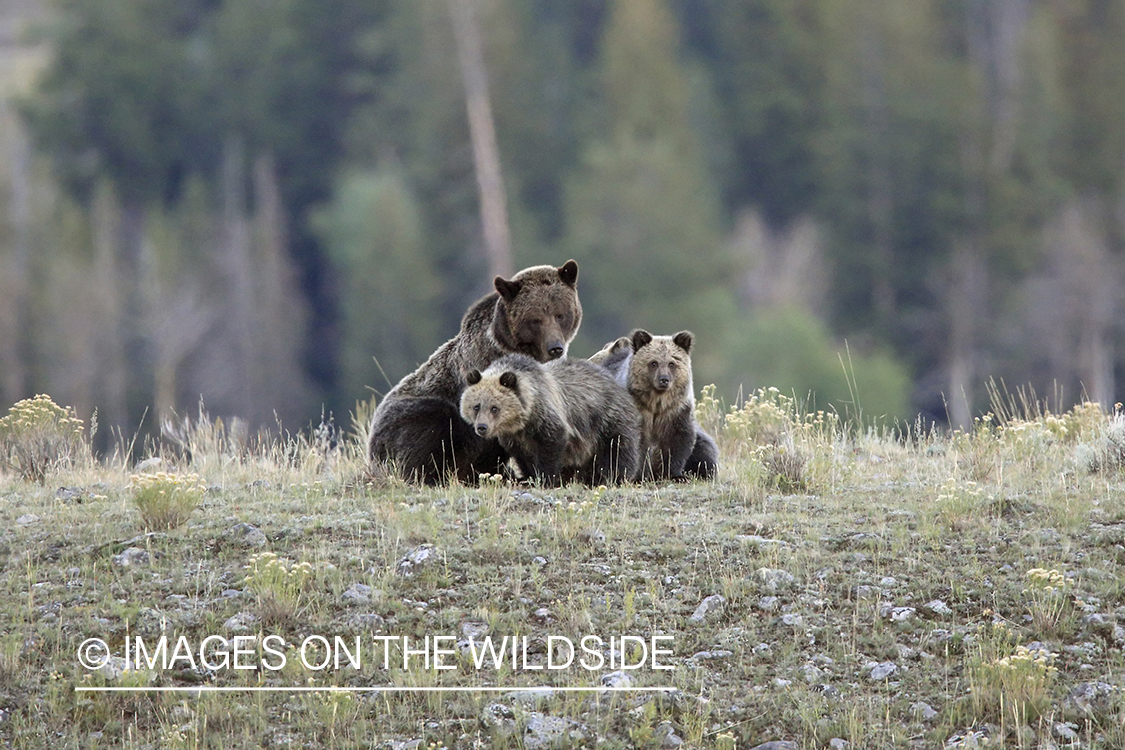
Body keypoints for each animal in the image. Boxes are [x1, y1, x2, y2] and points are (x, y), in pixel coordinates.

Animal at [459, 353, 641, 486]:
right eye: (476, 406)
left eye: (494, 408)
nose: (482, 427)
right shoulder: (515, 437)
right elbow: (523, 457)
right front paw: (528, 477)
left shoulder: (547, 417)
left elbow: (551, 446)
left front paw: (545, 478)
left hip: (606, 420)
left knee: (617, 450)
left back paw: (612, 478)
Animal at [592, 329, 718, 481]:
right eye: (653, 363)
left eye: (672, 363)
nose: (664, 379)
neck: (656, 403)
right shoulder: (638, 411)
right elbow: (634, 444)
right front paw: (638, 476)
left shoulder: (676, 411)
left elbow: (677, 442)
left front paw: (674, 474)